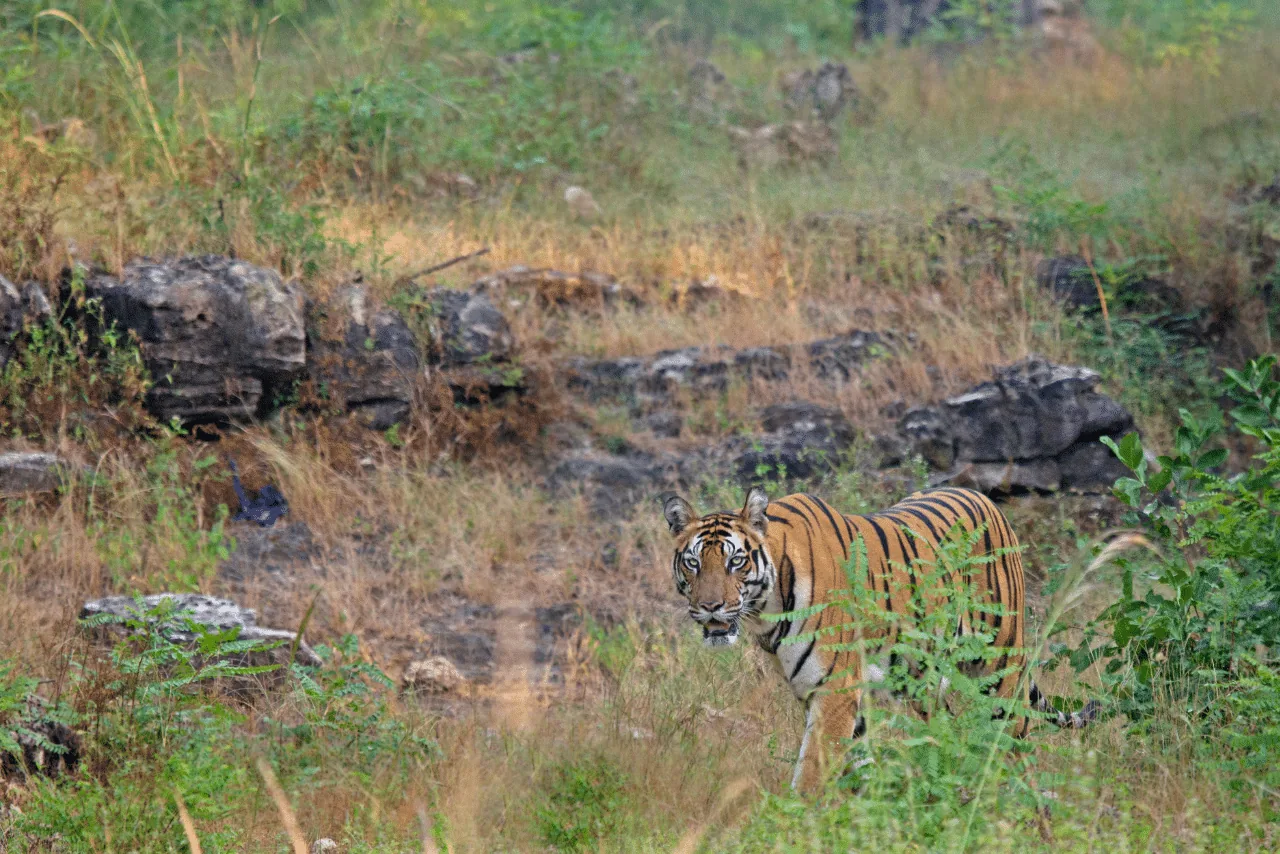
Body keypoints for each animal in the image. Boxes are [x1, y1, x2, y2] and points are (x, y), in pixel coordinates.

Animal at [661, 486, 1094, 793]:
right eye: (693, 562)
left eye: (736, 561)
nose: (711, 607)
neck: (766, 611)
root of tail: (987, 499)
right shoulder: (826, 694)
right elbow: (860, 770)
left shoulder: (834, 691)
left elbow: (810, 776)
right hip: (925, 682)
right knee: (947, 734)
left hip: (1001, 666)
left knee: (1014, 747)